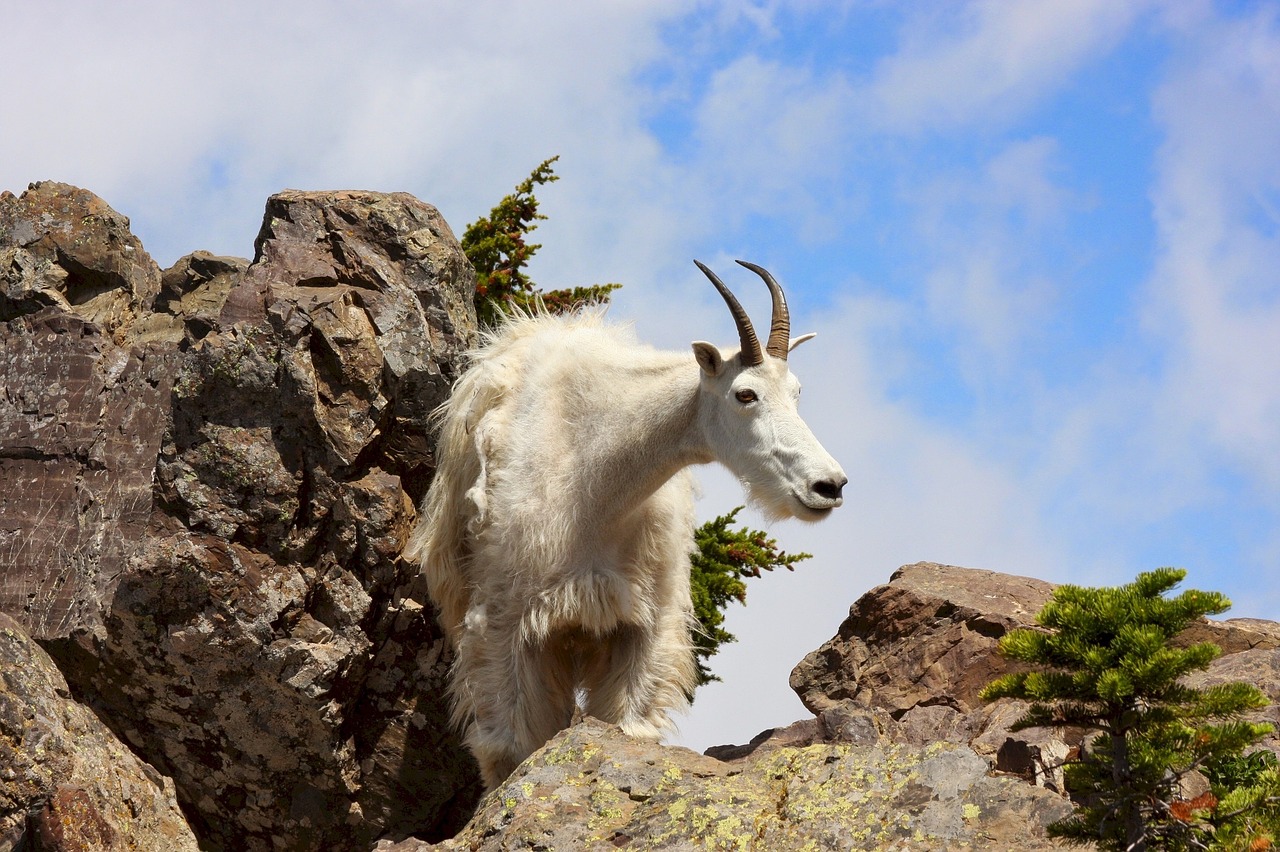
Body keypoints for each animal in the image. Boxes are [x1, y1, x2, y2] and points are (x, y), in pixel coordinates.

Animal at [409, 260, 844, 788]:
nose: (829, 485)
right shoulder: (505, 621)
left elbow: (628, 724)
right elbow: (509, 746)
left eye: (798, 392)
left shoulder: (642, 622)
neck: (595, 482)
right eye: (745, 394)